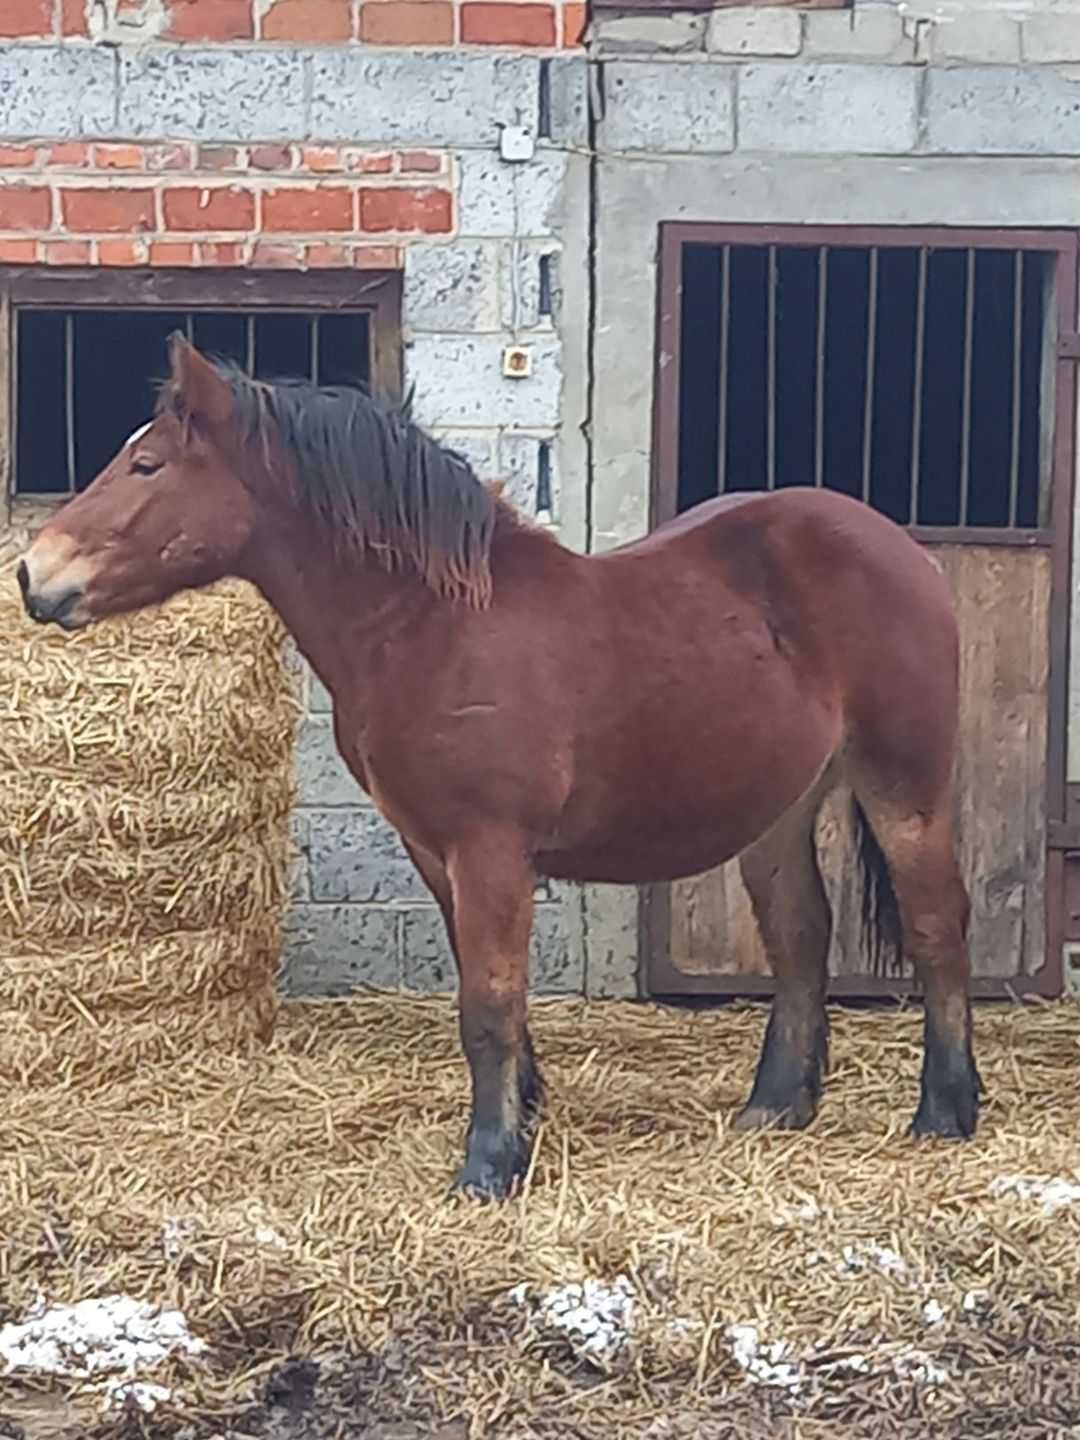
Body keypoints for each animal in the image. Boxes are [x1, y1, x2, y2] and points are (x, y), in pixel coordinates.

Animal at [14, 336, 979, 1203]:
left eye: (146, 464)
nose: (33, 575)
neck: (434, 627)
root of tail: (899, 548)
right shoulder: (435, 852)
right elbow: (495, 1000)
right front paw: (524, 1117)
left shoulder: (489, 849)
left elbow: (487, 1001)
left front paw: (489, 1166)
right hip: (779, 804)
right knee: (801, 936)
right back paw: (777, 1108)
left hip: (905, 784)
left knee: (936, 925)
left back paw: (945, 1112)